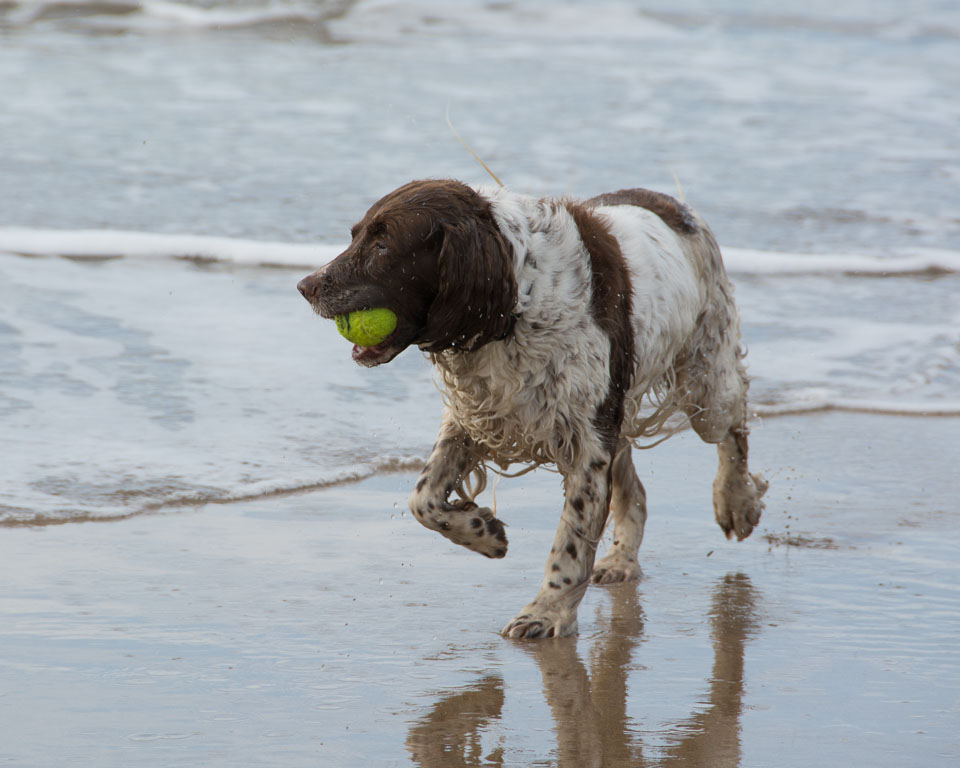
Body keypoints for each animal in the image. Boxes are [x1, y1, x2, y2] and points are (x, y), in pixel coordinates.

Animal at [296, 178, 768, 636]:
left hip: (705, 382)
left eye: (383, 246)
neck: (520, 301)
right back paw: (621, 561)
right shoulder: (476, 418)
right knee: (635, 490)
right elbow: (423, 499)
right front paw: (484, 532)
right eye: (356, 235)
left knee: (734, 426)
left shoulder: (587, 443)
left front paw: (546, 613)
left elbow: (570, 542)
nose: (305, 286)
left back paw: (735, 501)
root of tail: (677, 206)